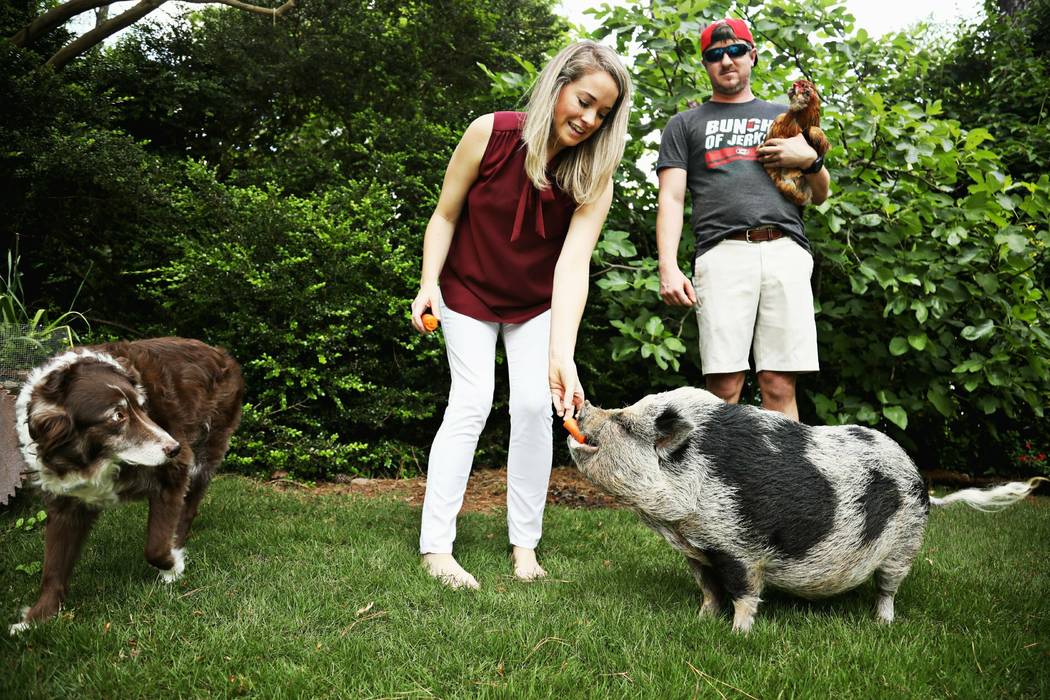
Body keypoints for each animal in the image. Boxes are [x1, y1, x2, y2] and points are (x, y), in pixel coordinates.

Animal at [10, 335, 243, 633]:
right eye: (118, 416)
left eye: (142, 407)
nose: (175, 448)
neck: (95, 458)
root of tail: (220, 352)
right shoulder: (66, 502)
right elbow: (53, 568)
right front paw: (35, 619)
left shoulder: (173, 474)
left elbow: (155, 547)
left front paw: (173, 565)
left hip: (205, 451)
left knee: (188, 509)